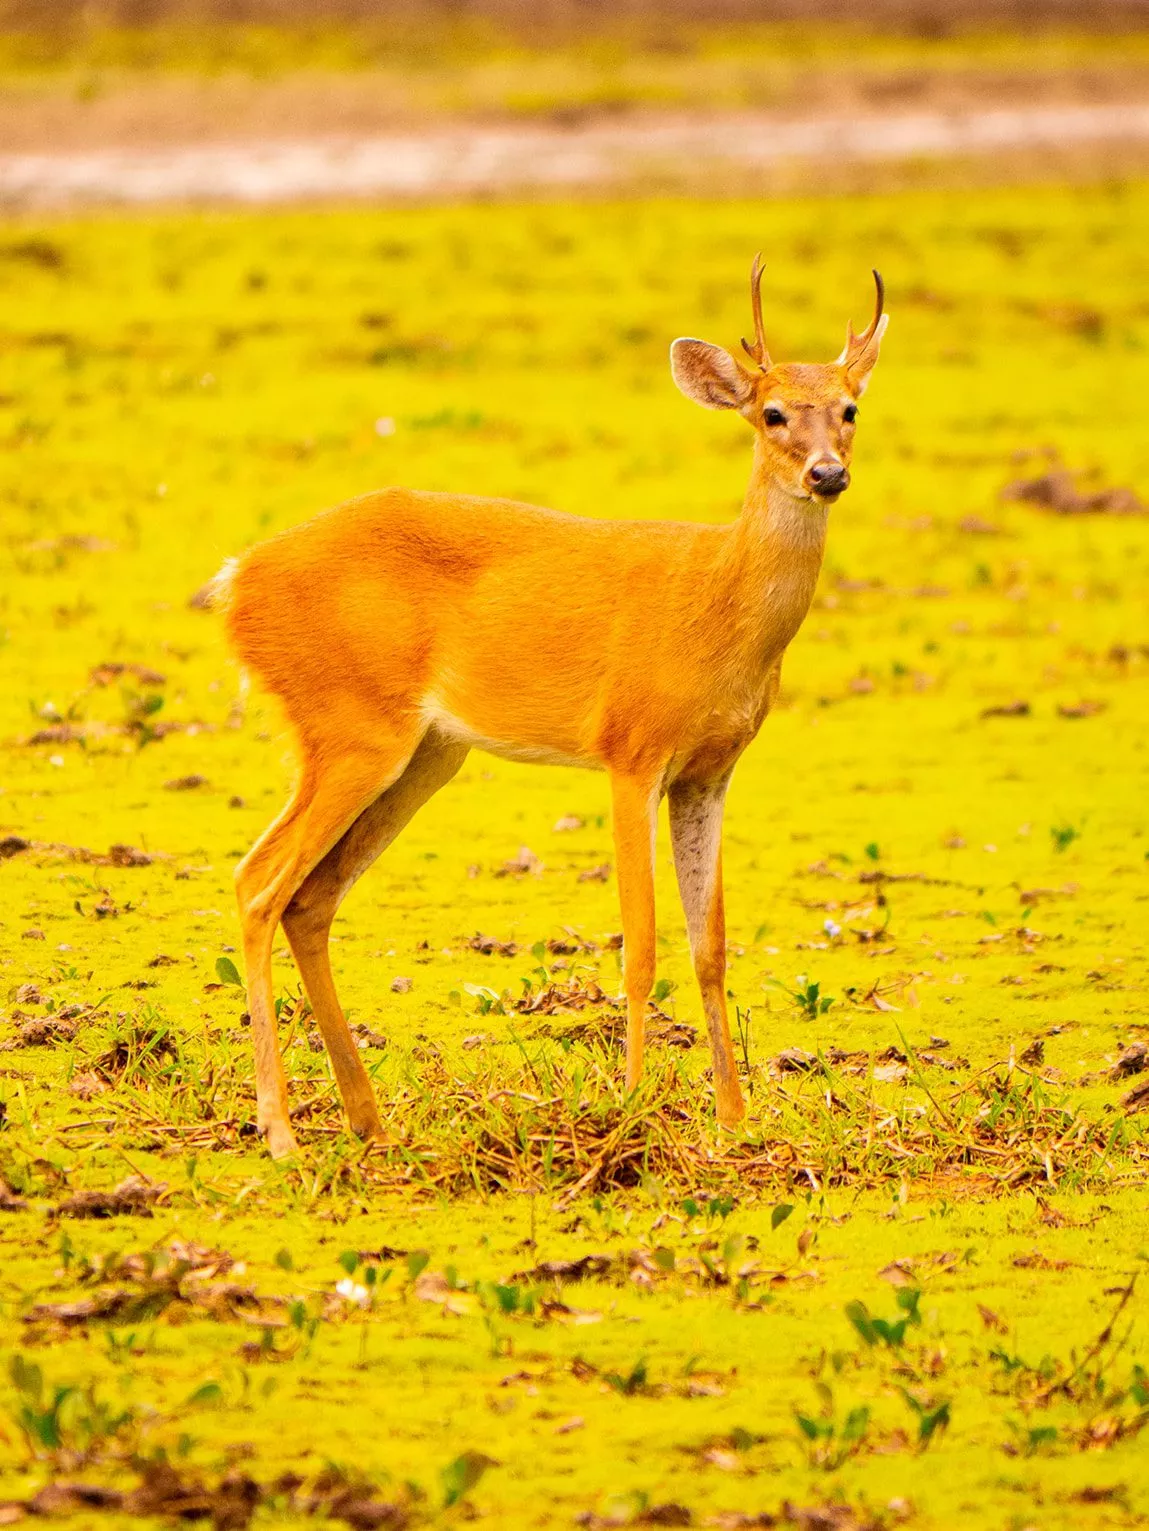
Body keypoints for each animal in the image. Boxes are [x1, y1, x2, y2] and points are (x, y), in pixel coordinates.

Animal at [214, 257, 888, 1159]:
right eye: (771, 411)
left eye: (849, 408)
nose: (826, 473)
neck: (716, 603)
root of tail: (234, 584)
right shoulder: (630, 748)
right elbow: (640, 944)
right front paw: (633, 1104)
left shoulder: (710, 769)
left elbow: (709, 944)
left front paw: (734, 1117)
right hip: (347, 725)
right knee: (257, 882)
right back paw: (281, 1131)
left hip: (423, 752)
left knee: (309, 897)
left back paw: (367, 1117)